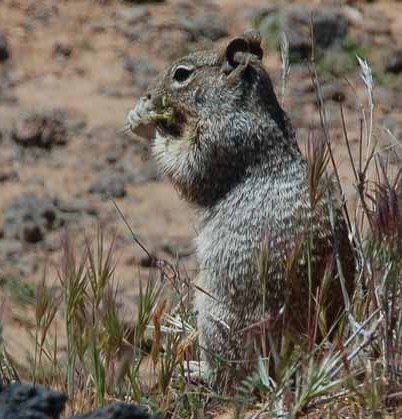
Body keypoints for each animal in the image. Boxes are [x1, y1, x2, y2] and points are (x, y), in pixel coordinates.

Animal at [127, 30, 354, 390]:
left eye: (181, 74)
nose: (149, 94)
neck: (242, 106)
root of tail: (310, 348)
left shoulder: (221, 142)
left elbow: (187, 169)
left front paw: (149, 122)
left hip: (215, 316)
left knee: (230, 375)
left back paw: (196, 369)